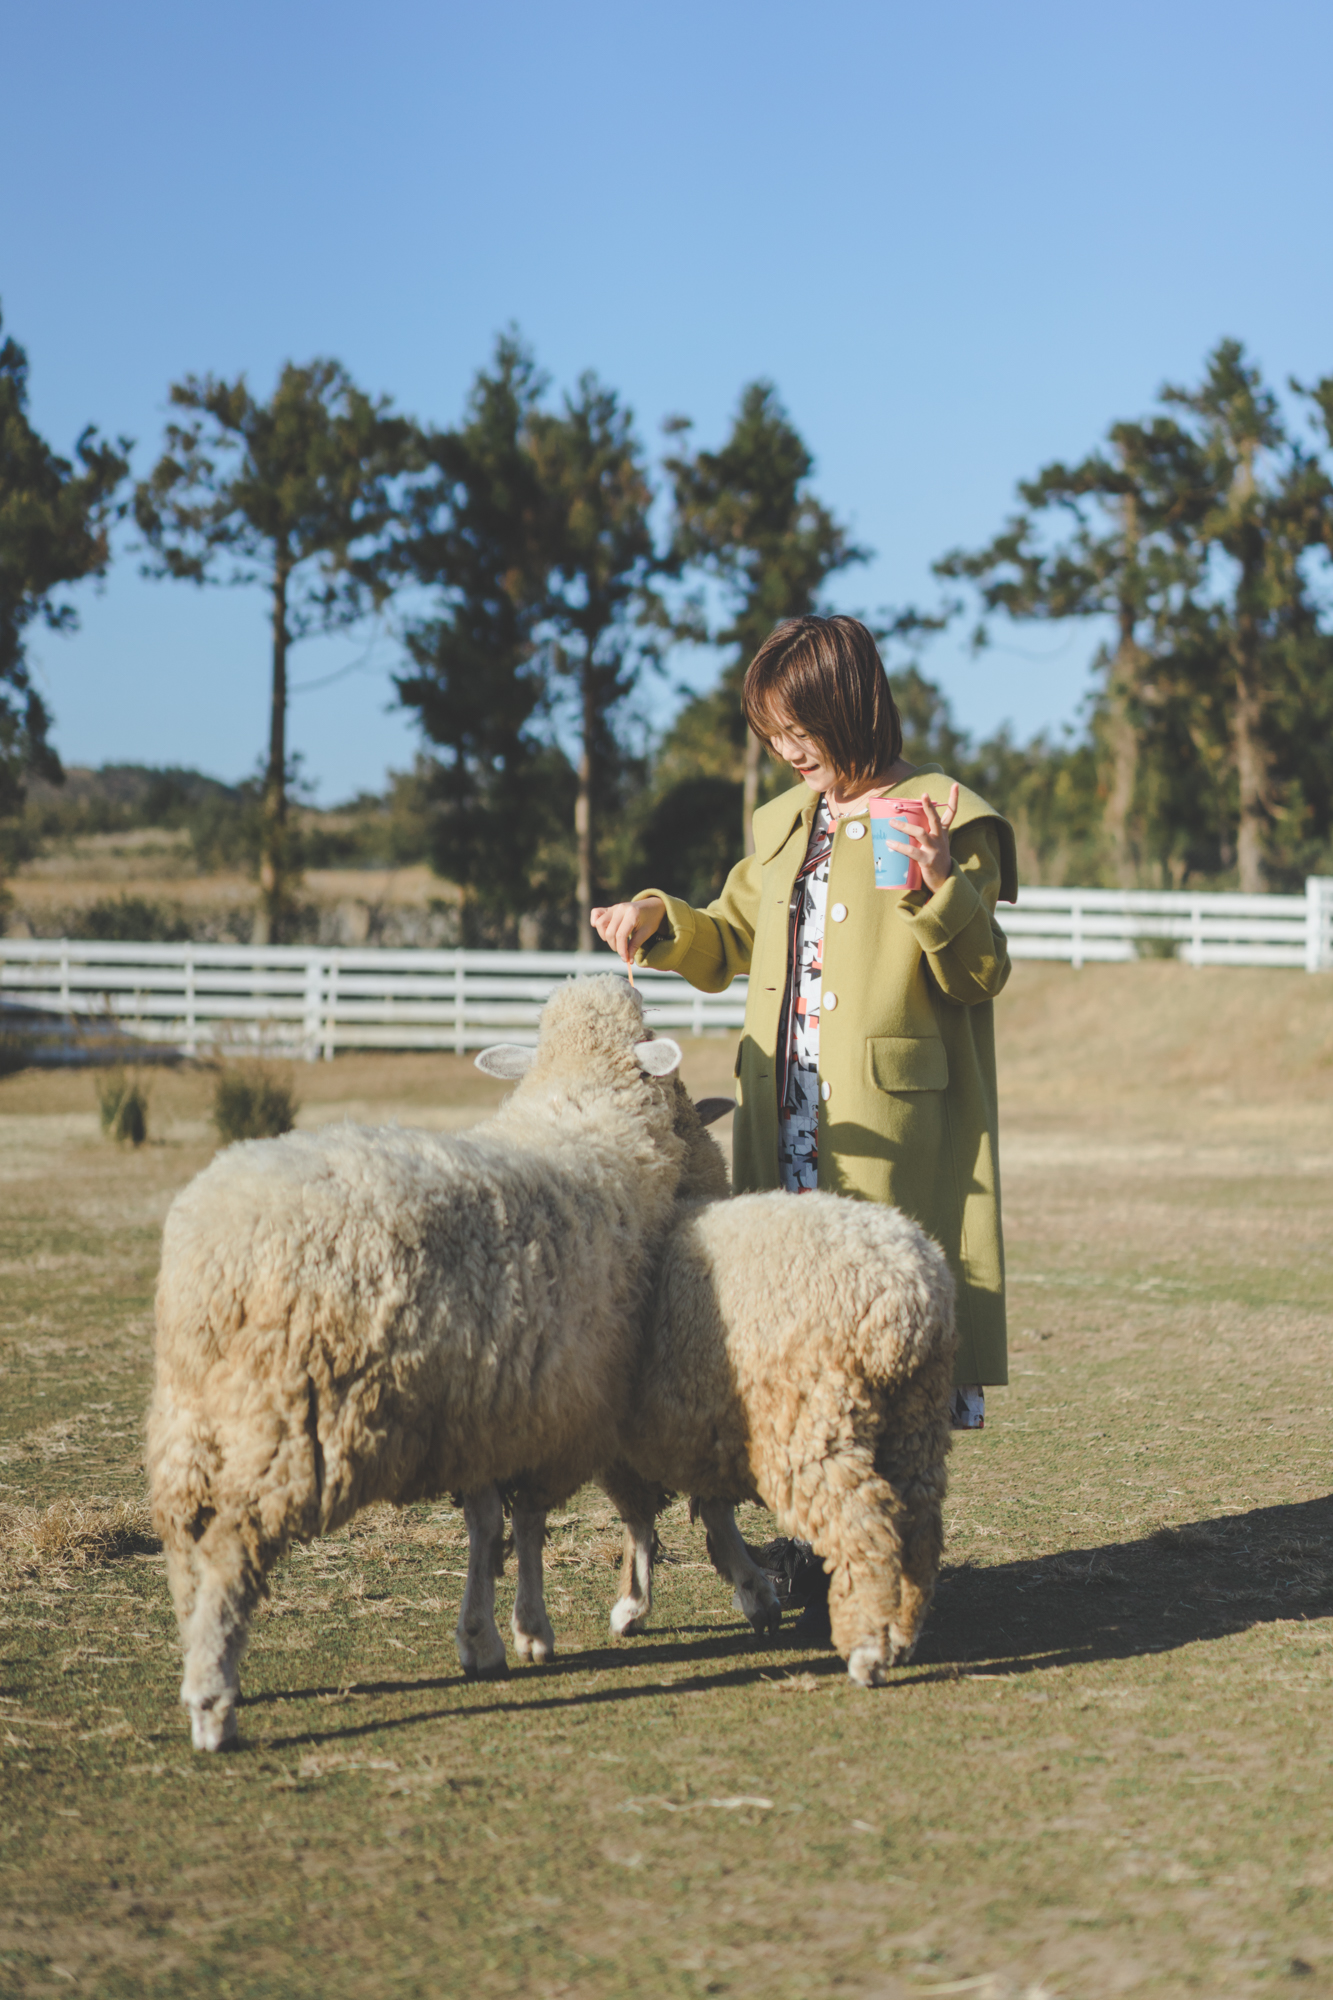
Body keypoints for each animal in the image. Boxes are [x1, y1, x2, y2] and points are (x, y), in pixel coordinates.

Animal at [148, 972, 684, 1752]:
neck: (582, 1110)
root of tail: (214, 1254)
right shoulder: (557, 1416)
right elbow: (525, 1522)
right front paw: (530, 1628)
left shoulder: (489, 1408)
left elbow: (488, 1524)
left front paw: (483, 1638)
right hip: (277, 1424)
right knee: (226, 1551)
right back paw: (214, 1706)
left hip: (190, 1423)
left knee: (186, 1545)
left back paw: (202, 1659)